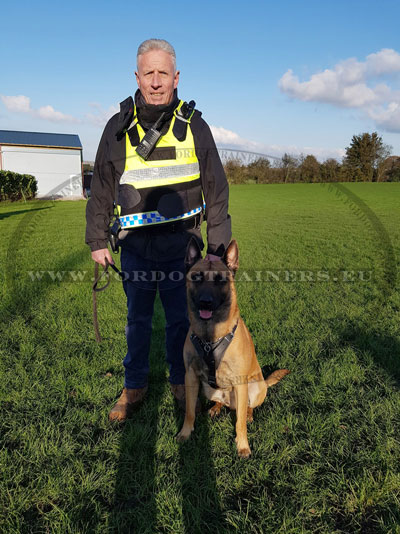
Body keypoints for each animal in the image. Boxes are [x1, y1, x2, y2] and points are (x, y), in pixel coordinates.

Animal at [177, 239, 290, 460]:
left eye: (221, 280)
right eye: (196, 277)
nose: (205, 302)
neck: (210, 337)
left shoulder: (240, 381)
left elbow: (239, 424)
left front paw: (242, 446)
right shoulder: (190, 376)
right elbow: (189, 412)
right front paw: (185, 433)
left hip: (253, 388)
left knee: (246, 408)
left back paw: (248, 414)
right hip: (209, 388)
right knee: (225, 404)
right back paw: (216, 407)